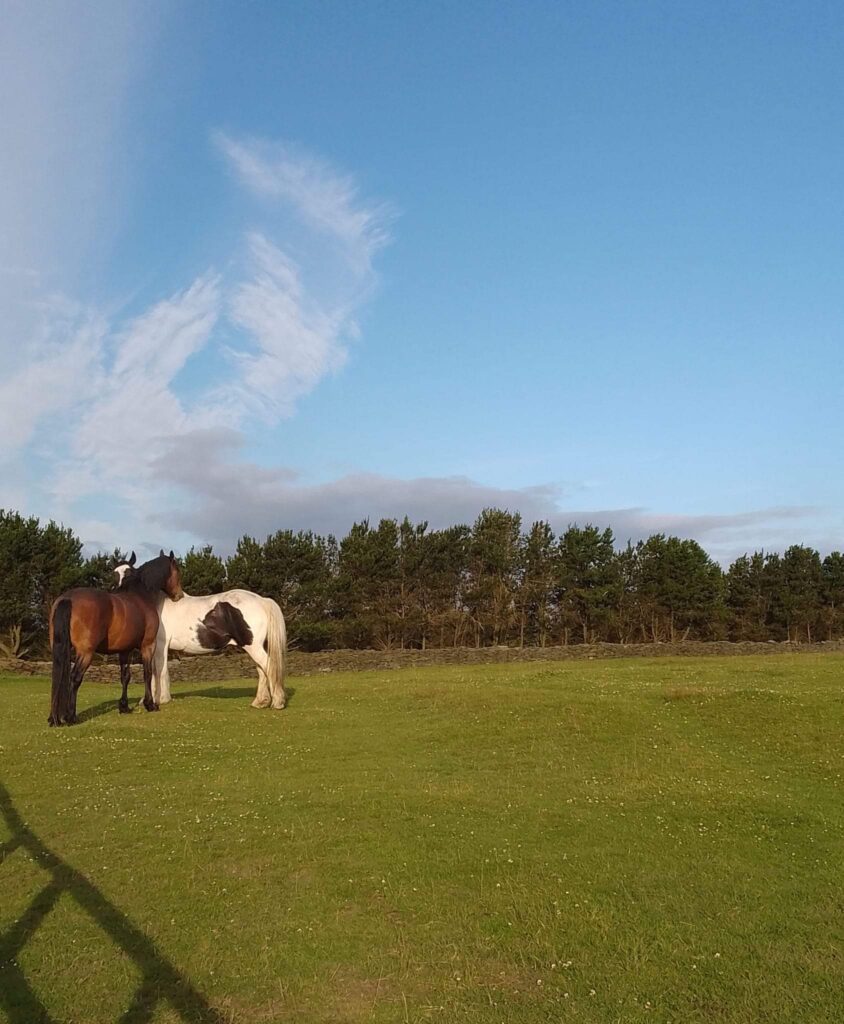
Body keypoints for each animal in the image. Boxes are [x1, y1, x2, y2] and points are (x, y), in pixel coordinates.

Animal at [48, 548, 183, 724]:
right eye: (177, 570)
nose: (179, 595)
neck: (140, 596)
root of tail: (68, 598)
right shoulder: (147, 645)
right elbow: (147, 673)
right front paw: (150, 704)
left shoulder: (125, 650)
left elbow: (125, 676)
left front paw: (124, 707)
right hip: (85, 653)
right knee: (75, 678)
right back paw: (70, 716)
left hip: (59, 648)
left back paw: (54, 718)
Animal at [115, 552, 286, 712]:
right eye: (115, 574)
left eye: (129, 574)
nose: (118, 595)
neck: (155, 603)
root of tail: (262, 600)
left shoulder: (159, 646)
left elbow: (158, 671)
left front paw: (160, 699)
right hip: (252, 646)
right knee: (262, 669)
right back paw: (260, 702)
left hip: (252, 646)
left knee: (268, 666)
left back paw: (277, 702)